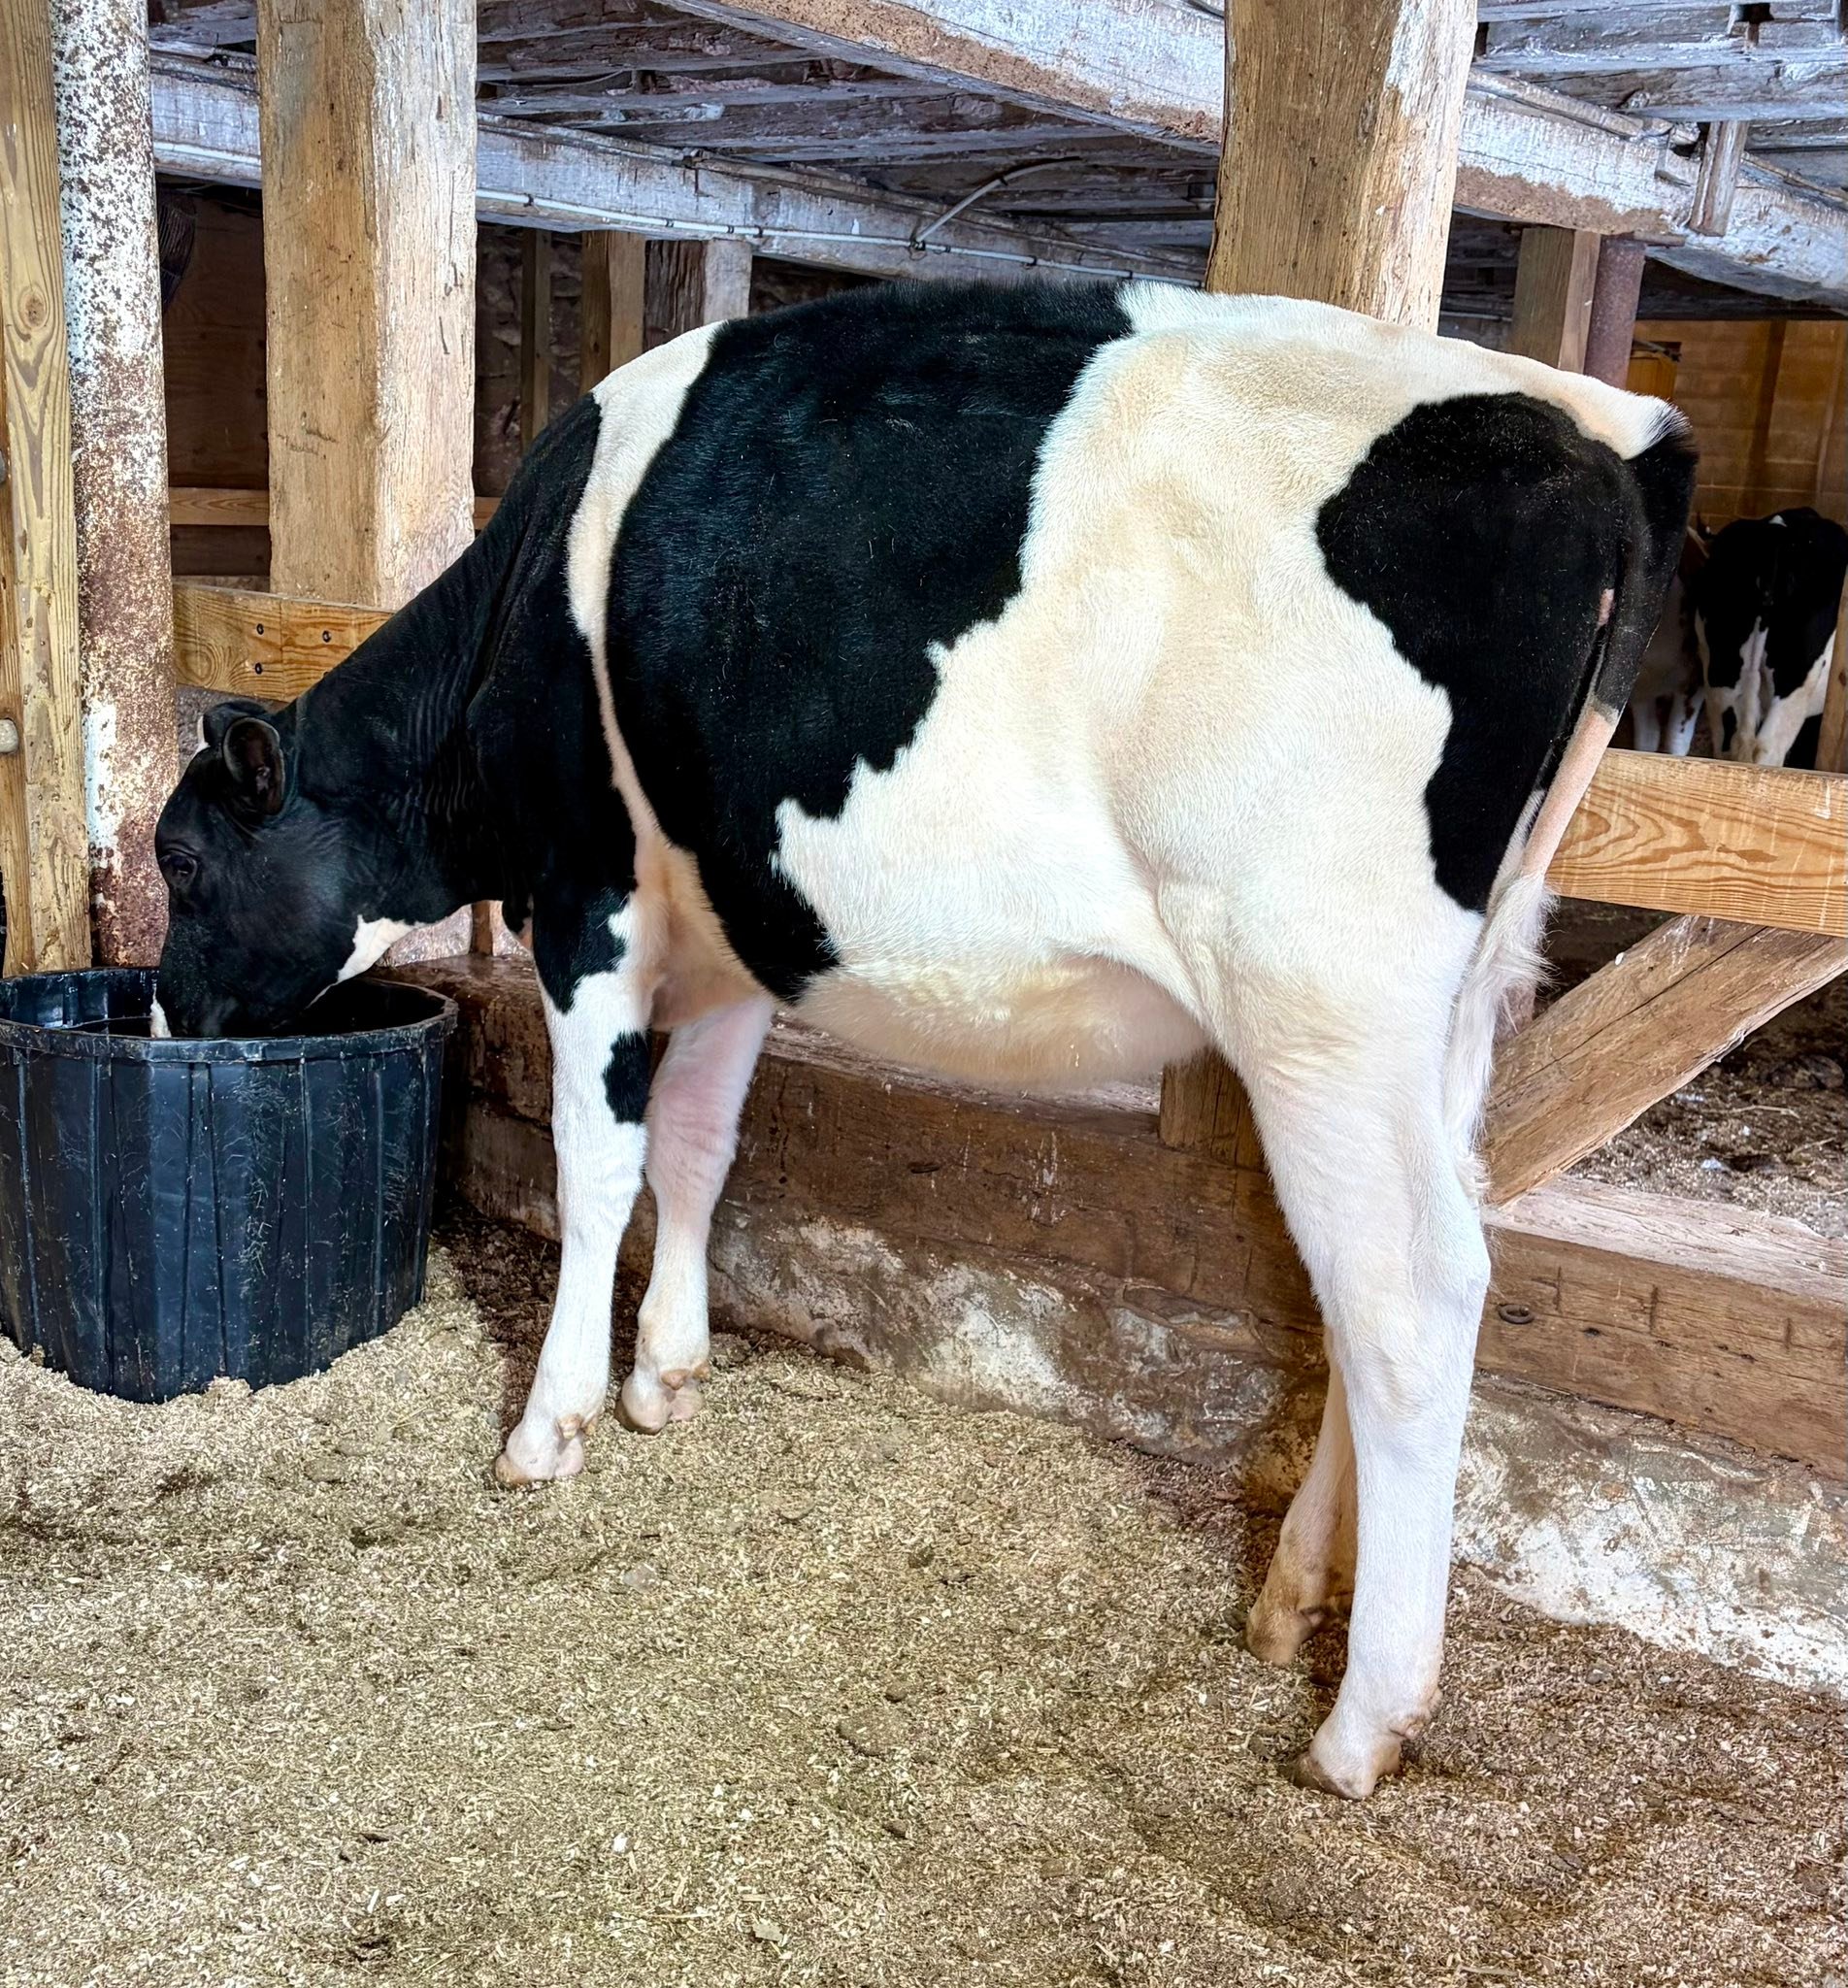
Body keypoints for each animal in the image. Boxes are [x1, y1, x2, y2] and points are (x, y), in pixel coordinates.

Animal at [152, 281, 1694, 1800]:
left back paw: (1362, 1720)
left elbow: (601, 1164)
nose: (161, 1010)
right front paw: (667, 1375)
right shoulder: (737, 917)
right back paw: (1295, 1592)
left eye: (180, 859)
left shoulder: (590, 889)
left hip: (1323, 990)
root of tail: (1605, 429)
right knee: (1372, 1280)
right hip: (1447, 1012)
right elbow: (700, 1147)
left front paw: (552, 1424)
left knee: (1409, 1291)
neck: (518, 626)